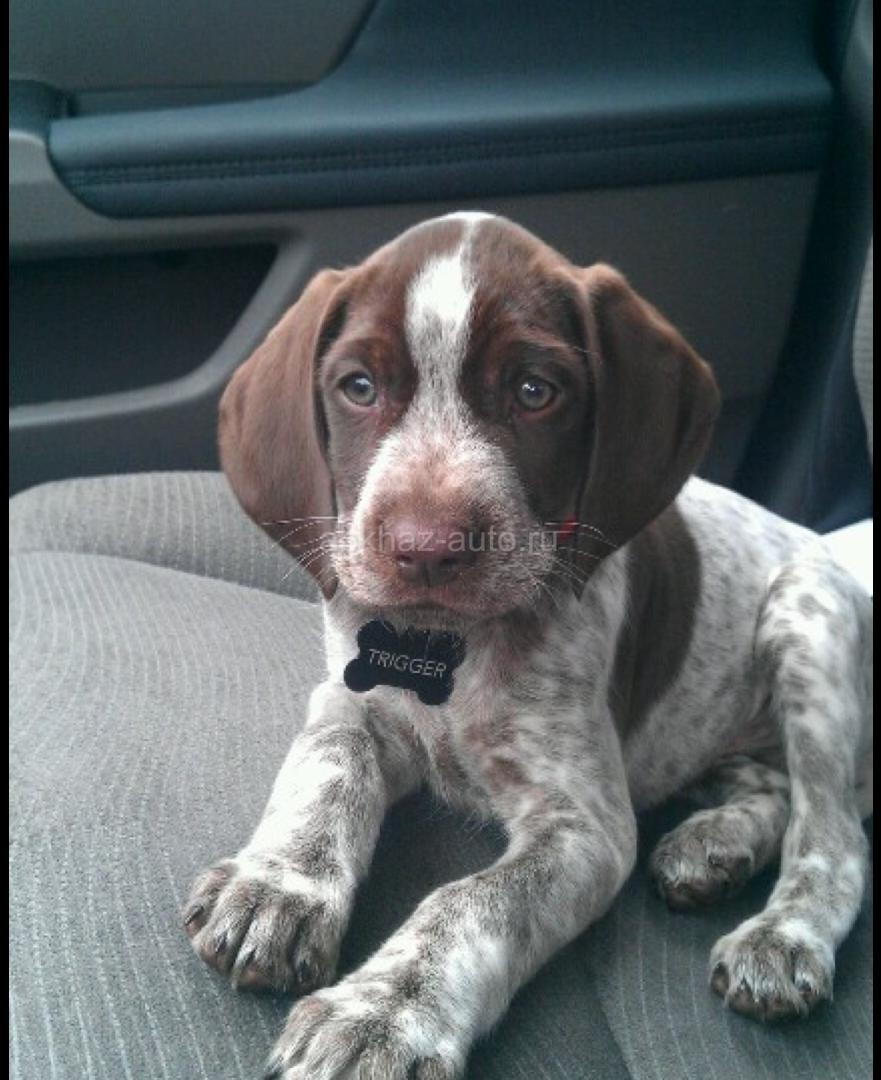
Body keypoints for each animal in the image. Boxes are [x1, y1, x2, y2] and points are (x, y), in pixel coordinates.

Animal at [183, 213, 873, 1079]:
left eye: (534, 392)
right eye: (359, 388)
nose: (426, 550)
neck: (448, 647)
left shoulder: (582, 825)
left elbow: (469, 903)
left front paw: (384, 1011)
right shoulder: (347, 699)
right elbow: (327, 773)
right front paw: (279, 886)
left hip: (804, 610)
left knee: (834, 834)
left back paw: (783, 933)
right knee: (772, 786)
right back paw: (717, 844)